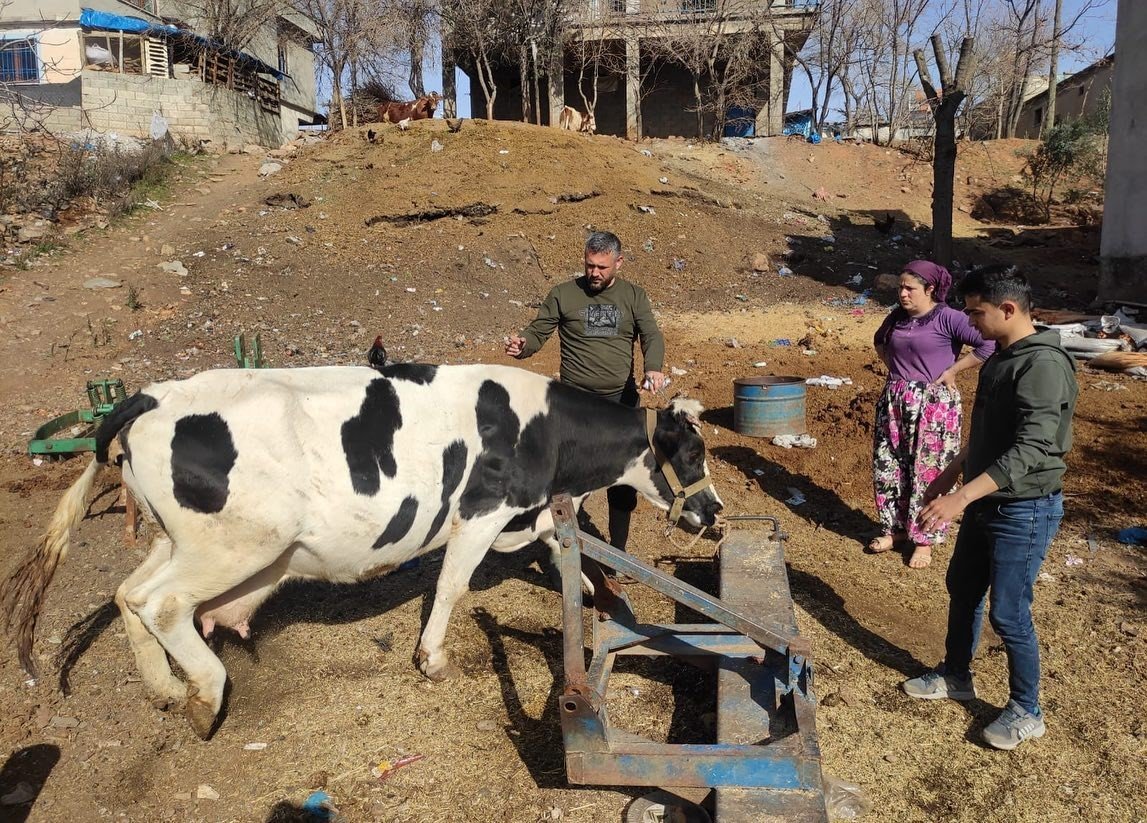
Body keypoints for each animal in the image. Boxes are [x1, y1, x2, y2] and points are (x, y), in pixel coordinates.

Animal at [2, 364, 724, 738]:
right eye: (691, 453)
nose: (715, 513)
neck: (542, 431)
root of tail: (156, 394)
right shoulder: (481, 512)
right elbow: (452, 586)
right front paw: (432, 659)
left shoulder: (531, 510)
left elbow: (570, 548)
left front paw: (608, 597)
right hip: (237, 543)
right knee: (165, 603)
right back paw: (204, 694)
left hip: (177, 538)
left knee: (129, 594)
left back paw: (163, 687)